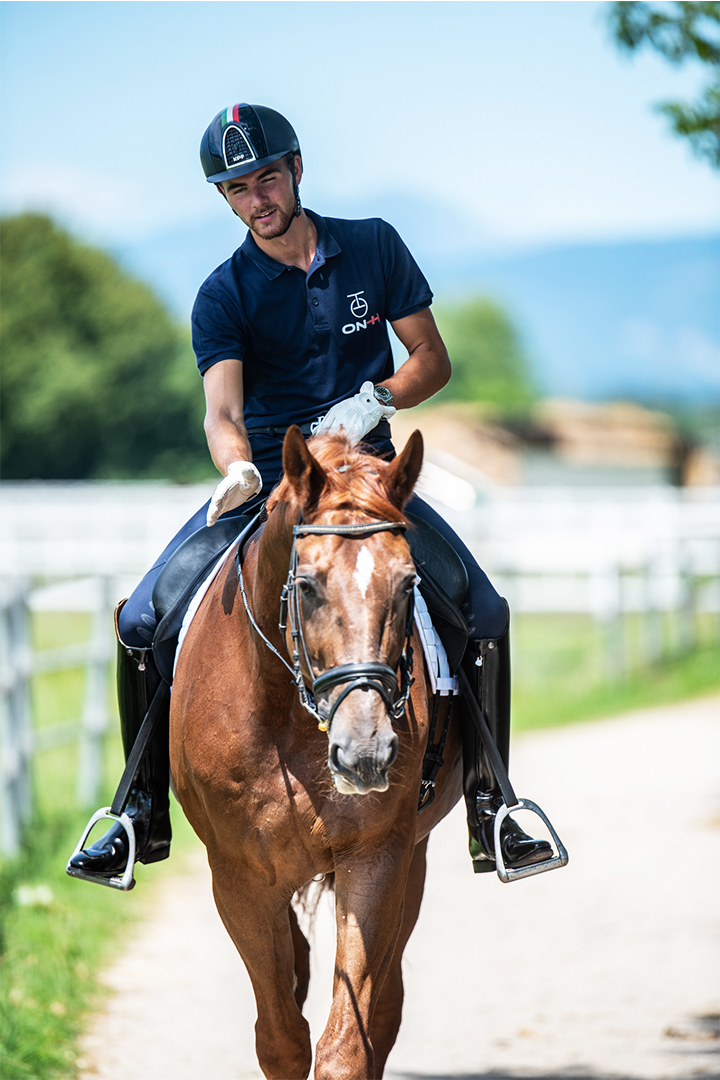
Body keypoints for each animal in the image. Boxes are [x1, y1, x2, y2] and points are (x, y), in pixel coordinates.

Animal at [169, 426, 464, 1079]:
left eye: (409, 584)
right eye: (305, 585)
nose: (366, 753)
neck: (286, 714)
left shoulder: (377, 857)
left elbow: (347, 1044)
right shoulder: (239, 878)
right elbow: (281, 1039)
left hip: (414, 856)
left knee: (385, 1006)